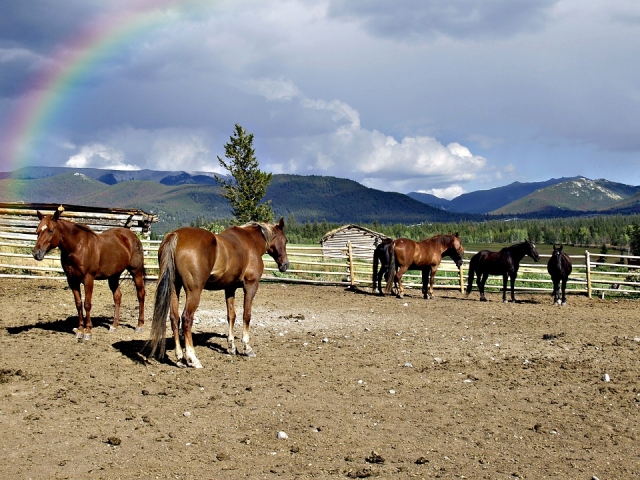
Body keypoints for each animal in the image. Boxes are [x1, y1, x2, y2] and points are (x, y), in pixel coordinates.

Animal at [33, 206, 146, 341]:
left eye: (50, 230)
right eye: (37, 231)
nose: (36, 253)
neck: (77, 247)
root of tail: (132, 236)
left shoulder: (88, 278)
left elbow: (87, 304)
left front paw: (88, 332)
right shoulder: (72, 280)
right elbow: (78, 304)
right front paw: (80, 330)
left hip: (136, 272)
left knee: (141, 295)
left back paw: (139, 325)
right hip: (113, 276)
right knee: (117, 297)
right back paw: (114, 325)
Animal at [148, 218, 289, 368]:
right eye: (285, 240)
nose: (285, 265)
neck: (251, 241)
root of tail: (176, 235)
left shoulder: (230, 288)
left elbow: (231, 316)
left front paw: (231, 347)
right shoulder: (251, 285)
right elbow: (247, 315)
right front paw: (247, 348)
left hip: (174, 288)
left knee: (175, 319)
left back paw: (180, 358)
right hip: (194, 291)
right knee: (186, 319)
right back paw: (192, 358)